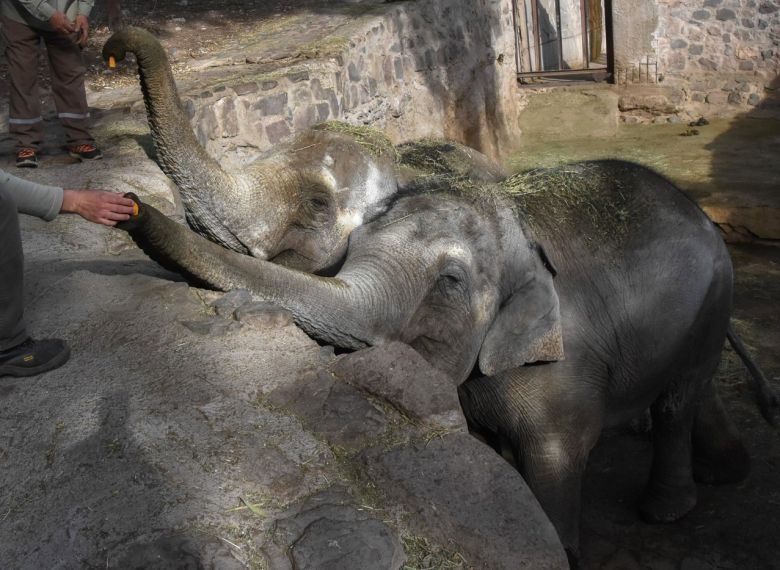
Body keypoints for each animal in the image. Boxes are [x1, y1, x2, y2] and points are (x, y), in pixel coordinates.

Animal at [112, 154, 776, 560]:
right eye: (351, 247)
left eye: (450, 281)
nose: (129, 202)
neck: (513, 218)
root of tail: (700, 211)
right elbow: (491, 450)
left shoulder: (563, 367)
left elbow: (557, 454)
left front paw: (560, 550)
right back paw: (717, 476)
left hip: (712, 303)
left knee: (678, 402)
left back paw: (666, 512)